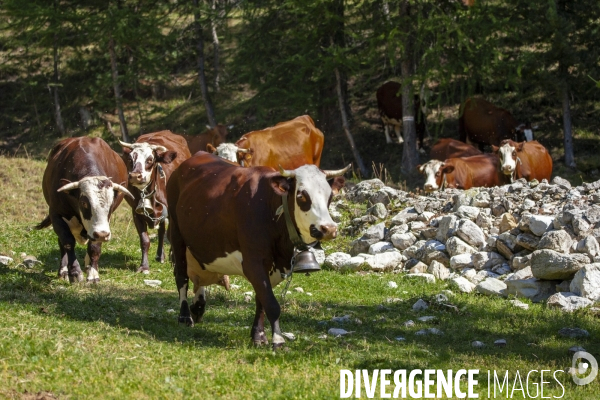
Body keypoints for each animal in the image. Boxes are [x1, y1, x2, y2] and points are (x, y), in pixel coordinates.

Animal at [36, 136, 134, 282]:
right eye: (84, 203)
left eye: (111, 204)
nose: (103, 234)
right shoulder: (56, 214)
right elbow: (67, 242)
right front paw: (74, 272)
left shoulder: (102, 226)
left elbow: (94, 247)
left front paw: (93, 273)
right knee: (62, 243)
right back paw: (63, 271)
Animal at [119, 131, 190, 276]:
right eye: (130, 159)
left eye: (150, 160)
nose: (135, 176)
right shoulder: (136, 213)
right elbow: (144, 240)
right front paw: (144, 266)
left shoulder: (171, 212)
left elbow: (171, 235)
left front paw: (174, 260)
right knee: (161, 231)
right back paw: (160, 255)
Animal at [166, 153, 350, 350]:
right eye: (301, 196)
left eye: (330, 196)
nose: (328, 229)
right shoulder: (253, 262)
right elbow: (271, 303)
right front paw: (278, 340)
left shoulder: (269, 266)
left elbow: (261, 299)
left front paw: (258, 335)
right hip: (177, 234)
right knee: (181, 276)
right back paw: (185, 316)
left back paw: (198, 306)